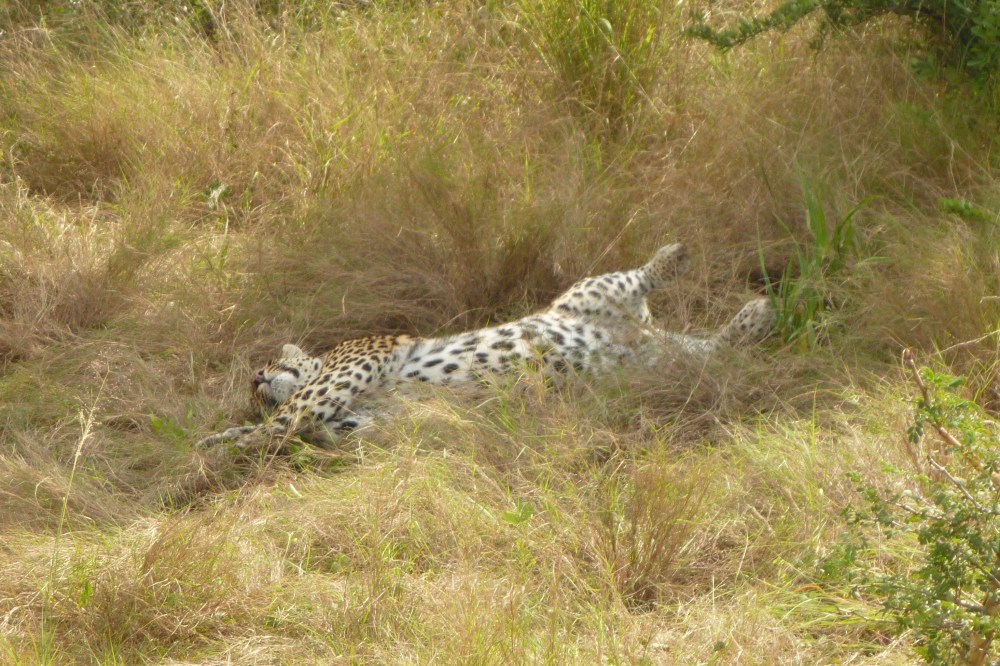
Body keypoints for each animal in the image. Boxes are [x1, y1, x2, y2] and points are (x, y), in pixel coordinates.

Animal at [196, 243, 776, 449]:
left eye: (269, 362)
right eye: (251, 390)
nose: (254, 379)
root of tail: (643, 338)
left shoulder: (359, 360)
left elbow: (292, 412)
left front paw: (236, 437)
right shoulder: (364, 420)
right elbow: (319, 425)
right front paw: (229, 437)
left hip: (591, 293)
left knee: (640, 275)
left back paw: (679, 260)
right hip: (656, 365)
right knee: (715, 352)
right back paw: (755, 317)